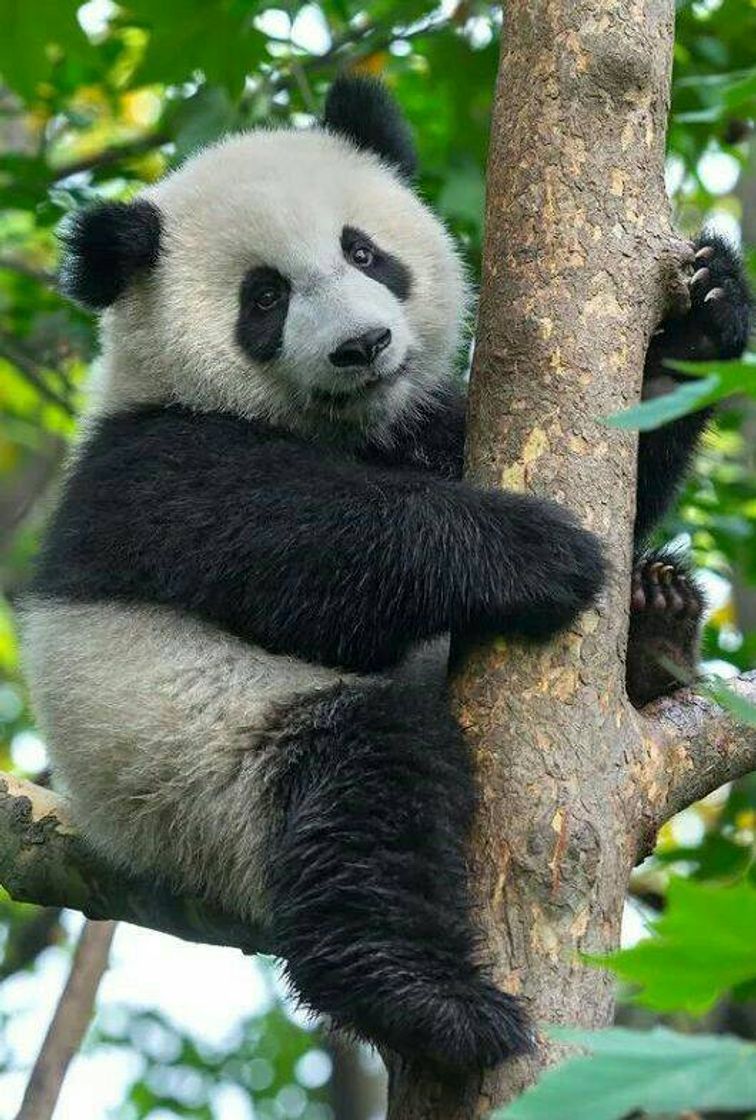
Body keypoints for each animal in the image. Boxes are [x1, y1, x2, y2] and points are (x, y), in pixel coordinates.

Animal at [21, 77, 749, 1074]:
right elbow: (302, 554)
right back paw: (430, 1000)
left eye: (363, 251)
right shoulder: (150, 469)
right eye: (265, 297)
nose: (362, 345)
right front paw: (531, 551)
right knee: (360, 791)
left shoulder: (424, 423)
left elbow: (627, 444)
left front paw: (705, 314)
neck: (340, 424)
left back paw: (656, 622)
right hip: (196, 773)